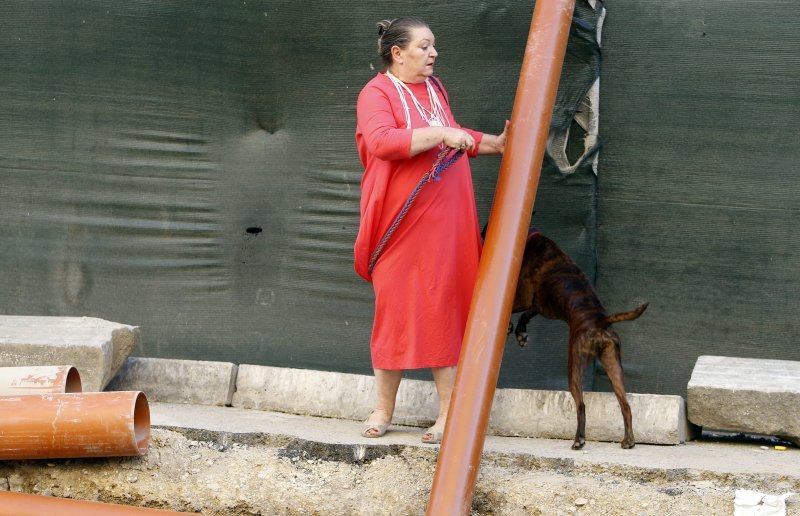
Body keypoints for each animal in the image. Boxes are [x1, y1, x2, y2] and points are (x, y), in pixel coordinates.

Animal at [512, 232, 648, 450]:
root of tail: (600, 321)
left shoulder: (523, 298)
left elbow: (516, 310)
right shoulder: (536, 306)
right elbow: (526, 315)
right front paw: (520, 333)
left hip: (574, 366)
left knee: (581, 405)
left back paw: (579, 440)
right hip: (614, 367)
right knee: (625, 405)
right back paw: (629, 441)